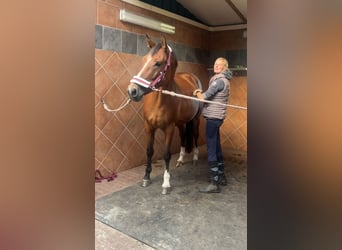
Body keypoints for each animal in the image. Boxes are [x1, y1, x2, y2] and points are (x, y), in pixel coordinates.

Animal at [128, 35, 203, 195]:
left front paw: (166, 184)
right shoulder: (149, 127)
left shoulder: (169, 128)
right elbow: (149, 151)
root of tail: (191, 77)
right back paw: (180, 160)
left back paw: (194, 158)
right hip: (180, 123)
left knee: (195, 136)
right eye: (144, 60)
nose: (132, 91)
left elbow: (166, 155)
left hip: (195, 120)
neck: (159, 100)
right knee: (183, 137)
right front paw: (146, 177)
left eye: (158, 63)